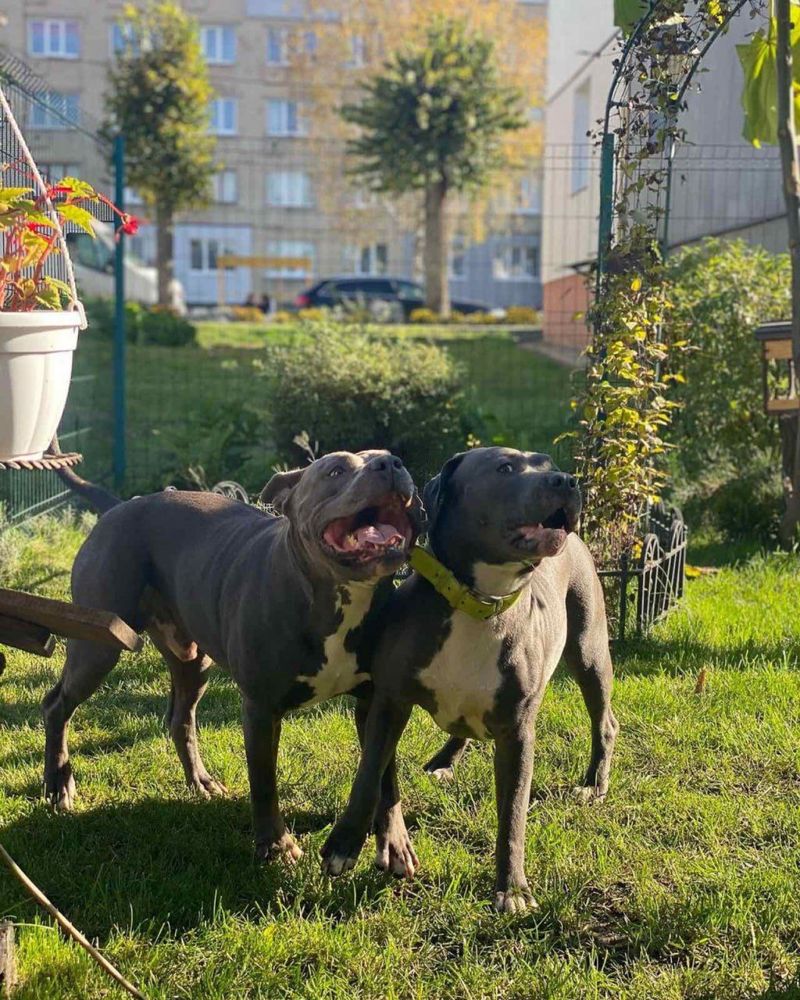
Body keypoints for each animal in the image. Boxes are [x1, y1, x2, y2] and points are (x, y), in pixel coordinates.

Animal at [45, 450, 424, 864]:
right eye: (335, 470)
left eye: (388, 456)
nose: (391, 464)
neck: (338, 599)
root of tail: (120, 505)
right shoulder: (260, 709)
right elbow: (264, 781)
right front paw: (276, 845)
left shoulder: (380, 702)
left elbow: (382, 774)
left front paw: (393, 841)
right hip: (99, 645)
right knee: (56, 703)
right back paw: (57, 784)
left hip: (193, 662)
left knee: (180, 719)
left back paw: (200, 781)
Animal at [320, 450, 620, 912]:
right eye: (505, 468)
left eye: (547, 463)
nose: (567, 480)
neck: (478, 602)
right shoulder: (389, 702)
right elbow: (369, 774)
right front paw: (344, 843)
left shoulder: (517, 733)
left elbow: (513, 815)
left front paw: (512, 889)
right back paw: (444, 760)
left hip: (588, 652)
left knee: (604, 721)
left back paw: (593, 784)